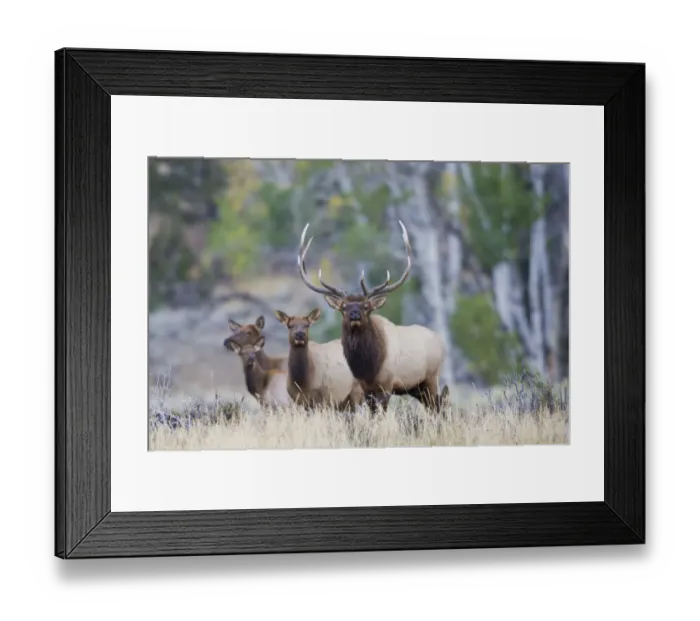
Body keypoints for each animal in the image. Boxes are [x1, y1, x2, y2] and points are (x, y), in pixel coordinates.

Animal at [296, 220, 449, 416]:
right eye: (343, 307)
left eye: (366, 306)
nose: (354, 314)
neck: (367, 367)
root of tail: (441, 342)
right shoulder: (365, 388)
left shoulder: (386, 385)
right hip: (416, 388)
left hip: (431, 378)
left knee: (439, 406)